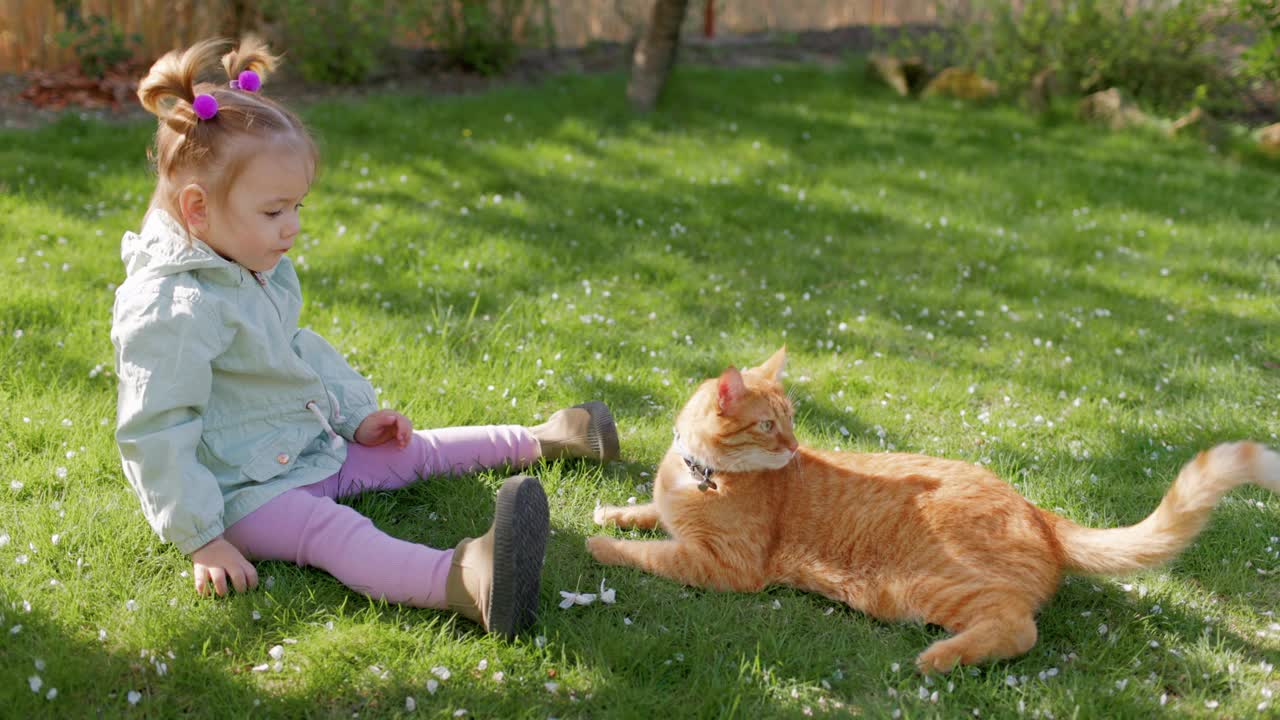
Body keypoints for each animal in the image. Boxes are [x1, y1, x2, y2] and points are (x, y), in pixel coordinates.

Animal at [586, 348, 1280, 671]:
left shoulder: (727, 567)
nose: (793, 449)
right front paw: (613, 514)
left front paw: (602, 544)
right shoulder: (674, 513)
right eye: (768, 425)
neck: (699, 475)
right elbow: (647, 517)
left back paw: (940, 659)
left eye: (790, 422)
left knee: (1018, 628)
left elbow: (656, 554)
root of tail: (1037, 510)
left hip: (933, 585)